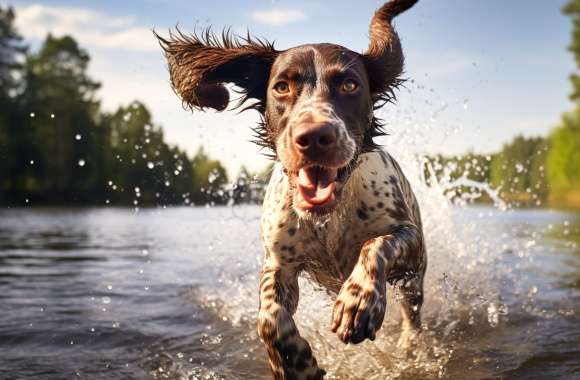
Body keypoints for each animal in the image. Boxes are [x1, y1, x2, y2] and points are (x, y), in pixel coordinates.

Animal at [156, 1, 424, 378]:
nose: (314, 136)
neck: (329, 218)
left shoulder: (410, 239)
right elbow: (270, 318)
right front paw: (295, 364)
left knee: (413, 316)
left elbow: (376, 245)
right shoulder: (279, 263)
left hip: (415, 280)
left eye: (350, 85)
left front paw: (359, 300)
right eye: (282, 87)